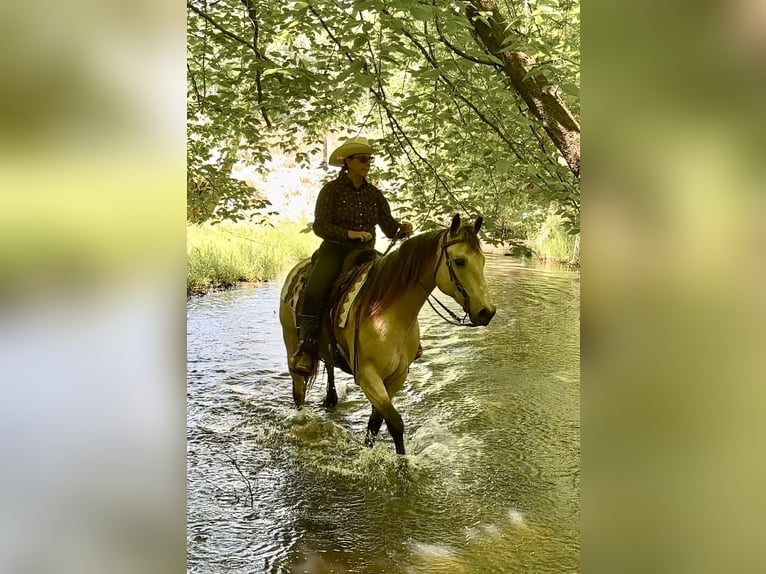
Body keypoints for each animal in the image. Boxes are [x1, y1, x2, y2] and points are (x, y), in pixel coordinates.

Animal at [278, 214, 496, 455]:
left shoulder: (397, 376)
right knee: (298, 392)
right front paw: (399, 462)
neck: (386, 313)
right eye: (459, 261)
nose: (487, 312)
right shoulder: (367, 376)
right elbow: (394, 422)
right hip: (290, 341)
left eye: (482, 261)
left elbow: (376, 422)